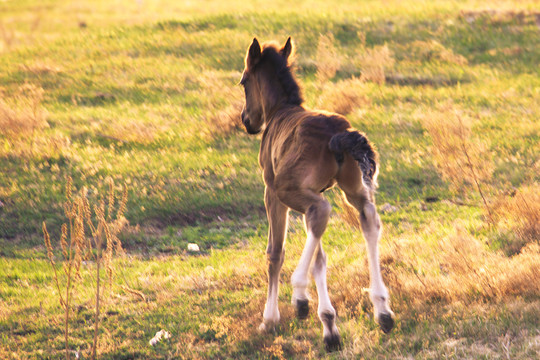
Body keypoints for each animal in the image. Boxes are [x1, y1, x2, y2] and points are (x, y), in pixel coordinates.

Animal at [238, 38, 394, 350]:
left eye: (244, 81)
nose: (246, 120)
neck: (279, 111)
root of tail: (340, 132)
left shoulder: (272, 191)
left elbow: (275, 252)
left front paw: (271, 319)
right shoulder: (313, 191)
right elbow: (319, 257)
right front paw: (329, 325)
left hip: (287, 188)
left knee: (322, 212)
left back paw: (299, 291)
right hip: (352, 189)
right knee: (367, 218)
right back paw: (383, 310)